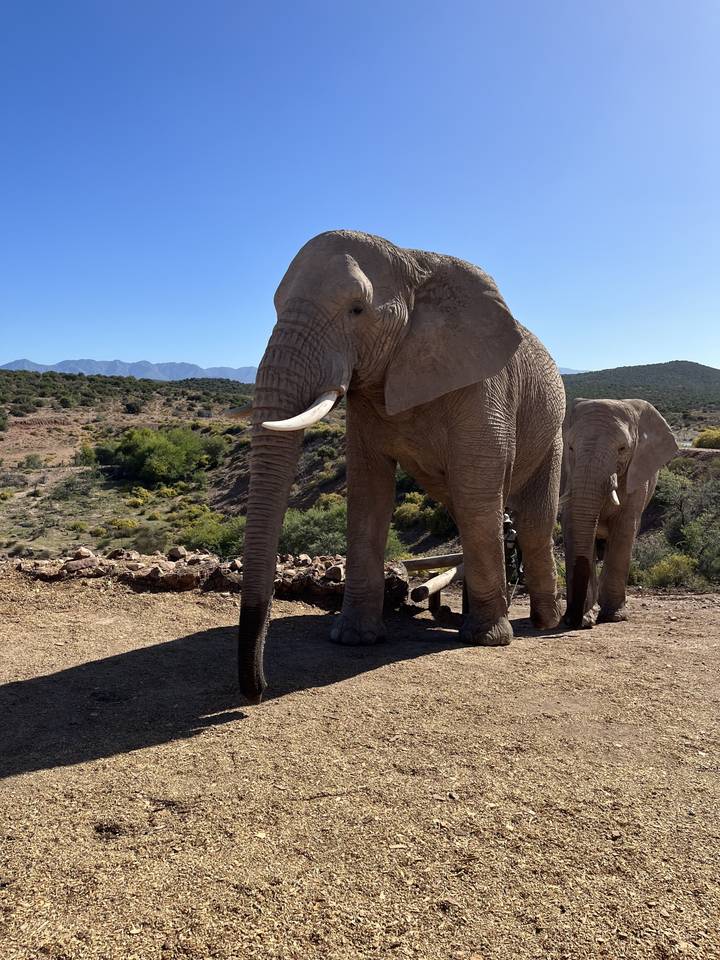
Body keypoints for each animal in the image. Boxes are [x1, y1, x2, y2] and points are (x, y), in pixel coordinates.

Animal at [239, 230, 566, 703]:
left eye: (357, 309)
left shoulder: (483, 386)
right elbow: (368, 492)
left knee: (531, 521)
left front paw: (487, 640)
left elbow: (476, 489)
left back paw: (544, 623)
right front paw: (353, 639)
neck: (413, 263)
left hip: (553, 433)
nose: (259, 689)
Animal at [561, 398, 678, 629]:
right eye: (570, 447)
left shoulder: (638, 474)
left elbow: (624, 529)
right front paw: (583, 618)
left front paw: (613, 617)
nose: (573, 621)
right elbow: (573, 525)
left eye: (622, 448)